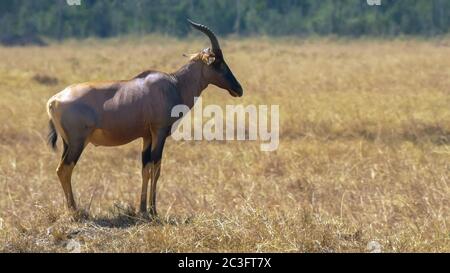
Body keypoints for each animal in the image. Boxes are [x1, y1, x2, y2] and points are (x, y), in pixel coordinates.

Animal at [45, 20, 243, 216]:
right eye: (217, 63)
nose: (238, 89)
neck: (174, 84)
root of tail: (54, 100)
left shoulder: (147, 136)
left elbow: (145, 168)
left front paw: (142, 209)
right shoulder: (159, 132)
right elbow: (157, 167)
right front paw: (153, 210)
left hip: (68, 143)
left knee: (63, 170)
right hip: (78, 142)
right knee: (64, 169)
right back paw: (75, 211)